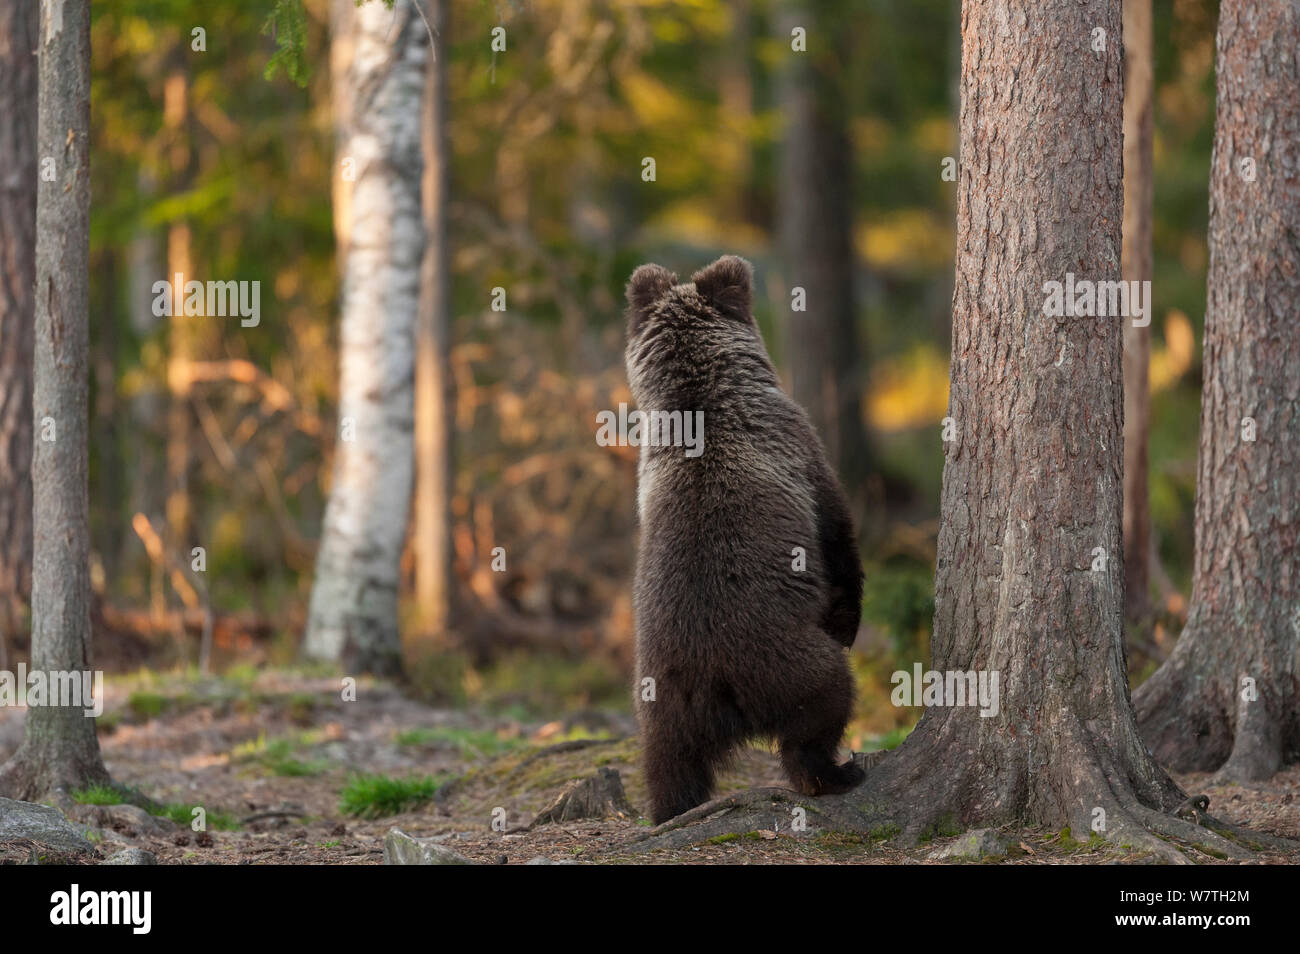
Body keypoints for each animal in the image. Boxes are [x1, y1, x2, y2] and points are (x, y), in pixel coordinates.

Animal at [626, 256, 868, 831]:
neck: (698, 403)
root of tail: (714, 682)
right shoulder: (802, 451)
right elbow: (838, 537)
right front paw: (850, 618)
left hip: (659, 693)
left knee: (669, 763)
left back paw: (670, 812)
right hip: (784, 660)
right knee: (822, 708)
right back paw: (836, 772)